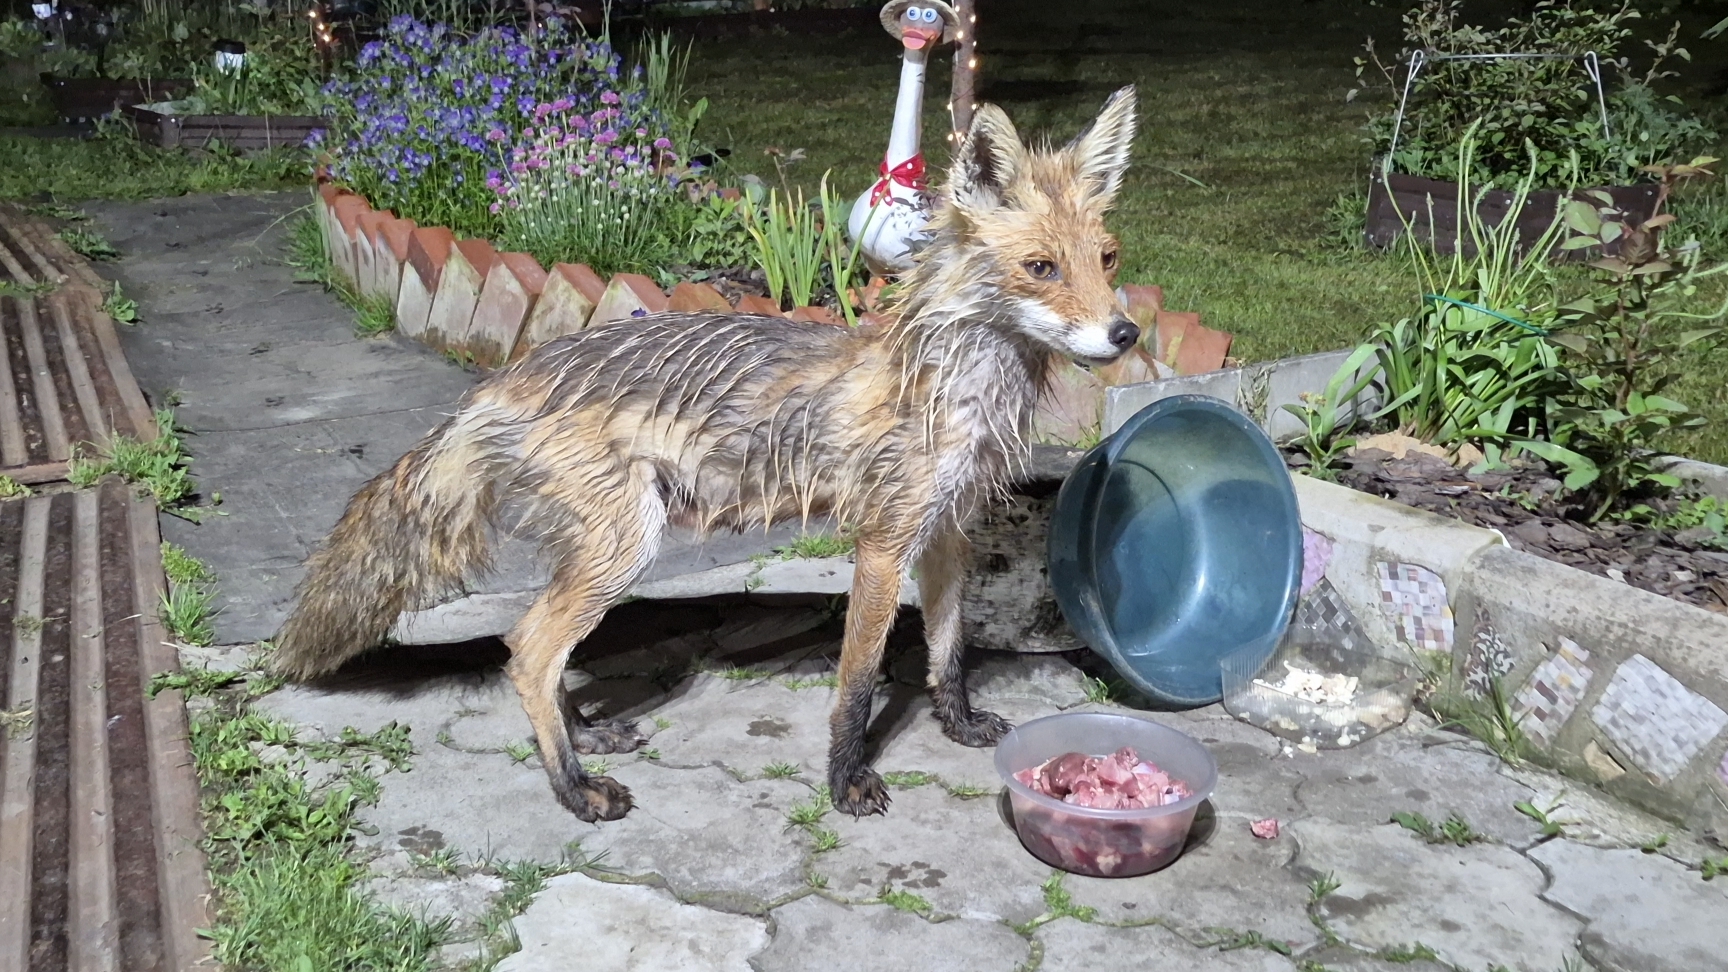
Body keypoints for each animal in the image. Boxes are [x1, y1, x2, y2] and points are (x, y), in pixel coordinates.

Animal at [271, 87, 1143, 822]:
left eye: (1107, 260)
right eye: (1040, 267)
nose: (1126, 334)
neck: (955, 389)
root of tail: (505, 379)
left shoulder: (948, 532)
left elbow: (950, 648)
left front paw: (956, 722)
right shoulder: (882, 544)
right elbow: (856, 685)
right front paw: (846, 781)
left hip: (596, 553)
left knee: (530, 644)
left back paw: (582, 735)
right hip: (625, 547)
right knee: (527, 653)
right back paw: (574, 789)